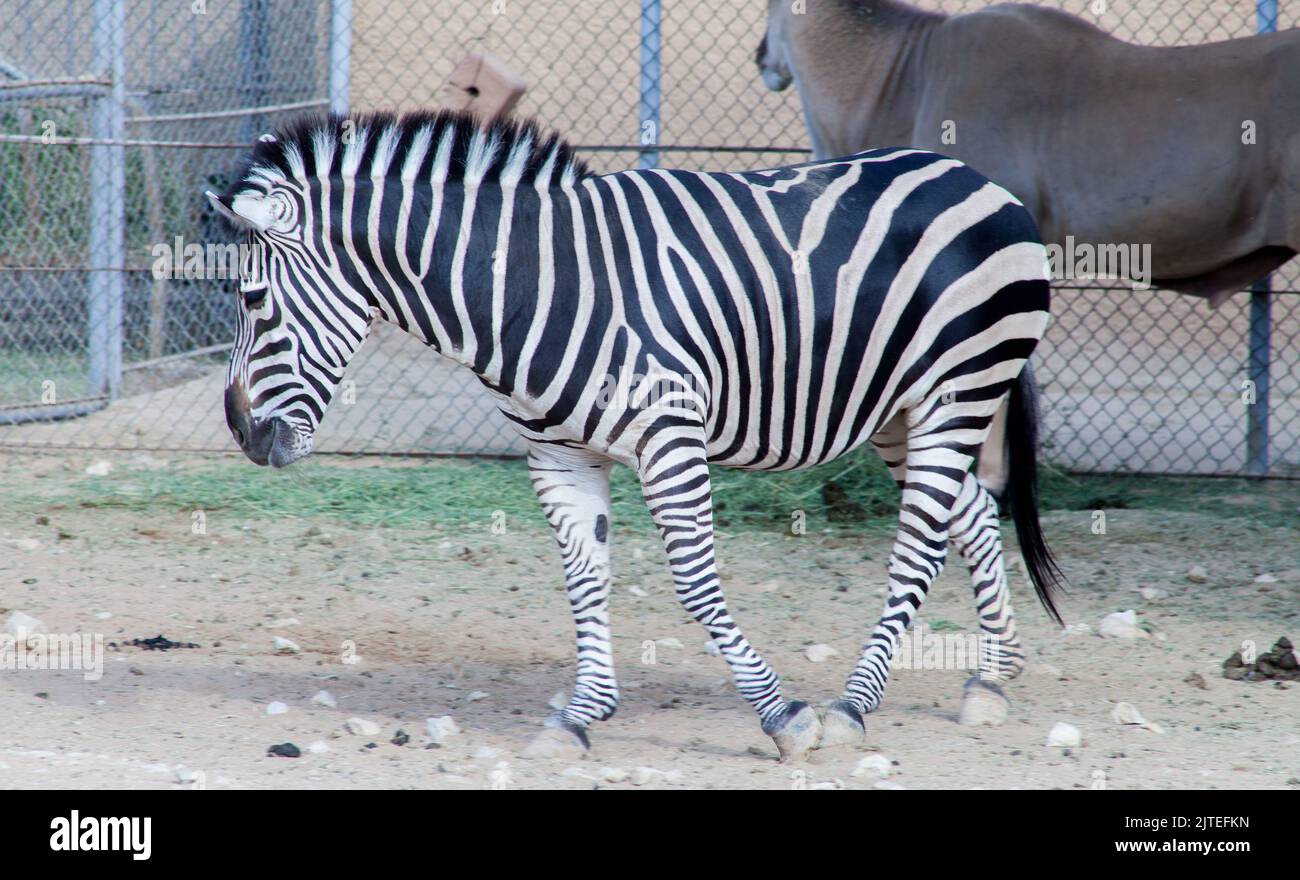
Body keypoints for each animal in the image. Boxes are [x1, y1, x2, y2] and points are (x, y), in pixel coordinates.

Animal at [207, 110, 1064, 762]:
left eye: (252, 301)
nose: (243, 433)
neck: (530, 285)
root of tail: (978, 178)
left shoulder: (670, 438)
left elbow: (694, 582)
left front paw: (783, 717)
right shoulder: (559, 454)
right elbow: (583, 579)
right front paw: (582, 716)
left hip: (959, 386)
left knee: (921, 541)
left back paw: (855, 705)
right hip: (898, 409)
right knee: (968, 513)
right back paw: (993, 675)